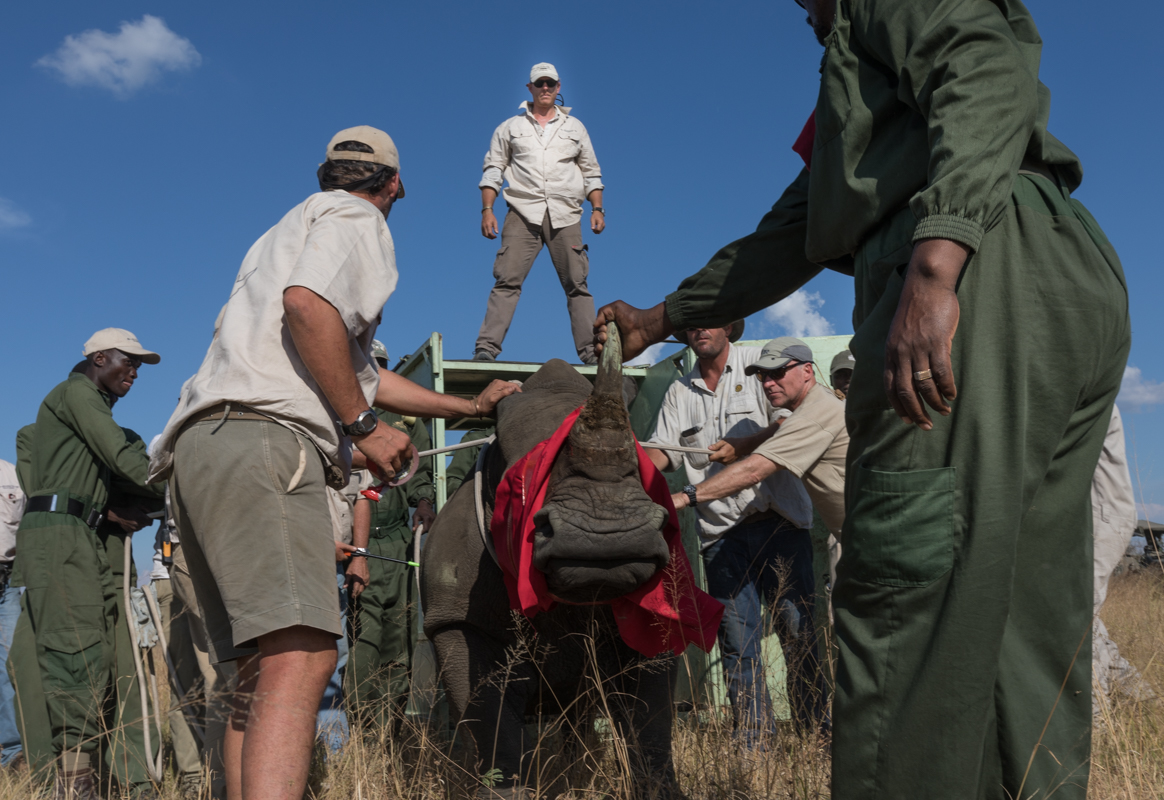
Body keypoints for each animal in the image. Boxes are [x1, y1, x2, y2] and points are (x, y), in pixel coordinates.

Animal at [419, 340, 684, 796]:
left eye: (640, 465)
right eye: (518, 482)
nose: (607, 533)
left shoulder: (658, 609)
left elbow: (651, 718)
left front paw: (659, 789)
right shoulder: (455, 618)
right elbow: (489, 714)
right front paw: (504, 792)